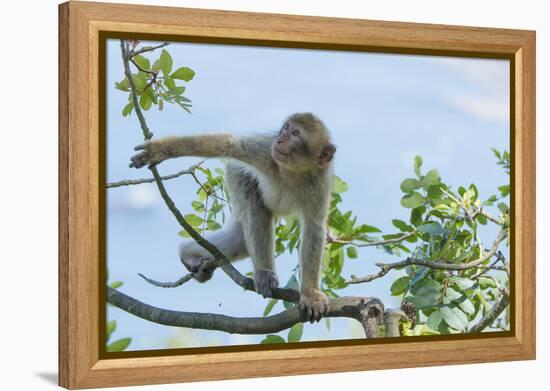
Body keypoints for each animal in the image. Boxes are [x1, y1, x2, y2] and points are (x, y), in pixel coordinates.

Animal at [130, 112, 336, 322]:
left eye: (295, 133)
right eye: (285, 128)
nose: (279, 140)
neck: (292, 171)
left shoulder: (320, 183)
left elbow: (314, 228)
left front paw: (310, 294)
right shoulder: (265, 153)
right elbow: (228, 143)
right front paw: (160, 150)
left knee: (240, 242)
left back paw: (189, 254)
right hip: (236, 176)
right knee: (255, 207)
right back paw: (263, 273)